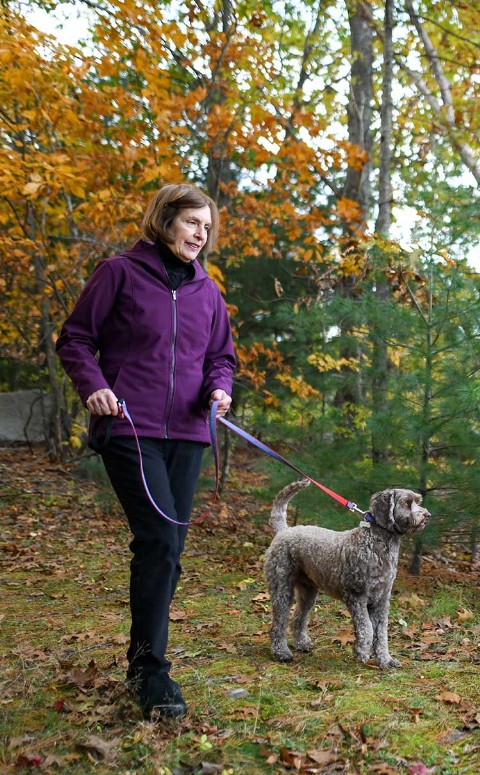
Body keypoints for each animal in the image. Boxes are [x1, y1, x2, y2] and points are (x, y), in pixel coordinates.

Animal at [264, 478, 430, 668]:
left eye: (418, 501)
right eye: (406, 503)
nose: (427, 515)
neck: (376, 544)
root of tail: (284, 531)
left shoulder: (381, 600)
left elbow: (381, 633)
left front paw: (385, 660)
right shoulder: (356, 596)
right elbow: (367, 628)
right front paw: (362, 652)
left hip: (308, 592)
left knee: (298, 619)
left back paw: (302, 644)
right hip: (282, 590)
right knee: (278, 624)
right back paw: (281, 653)